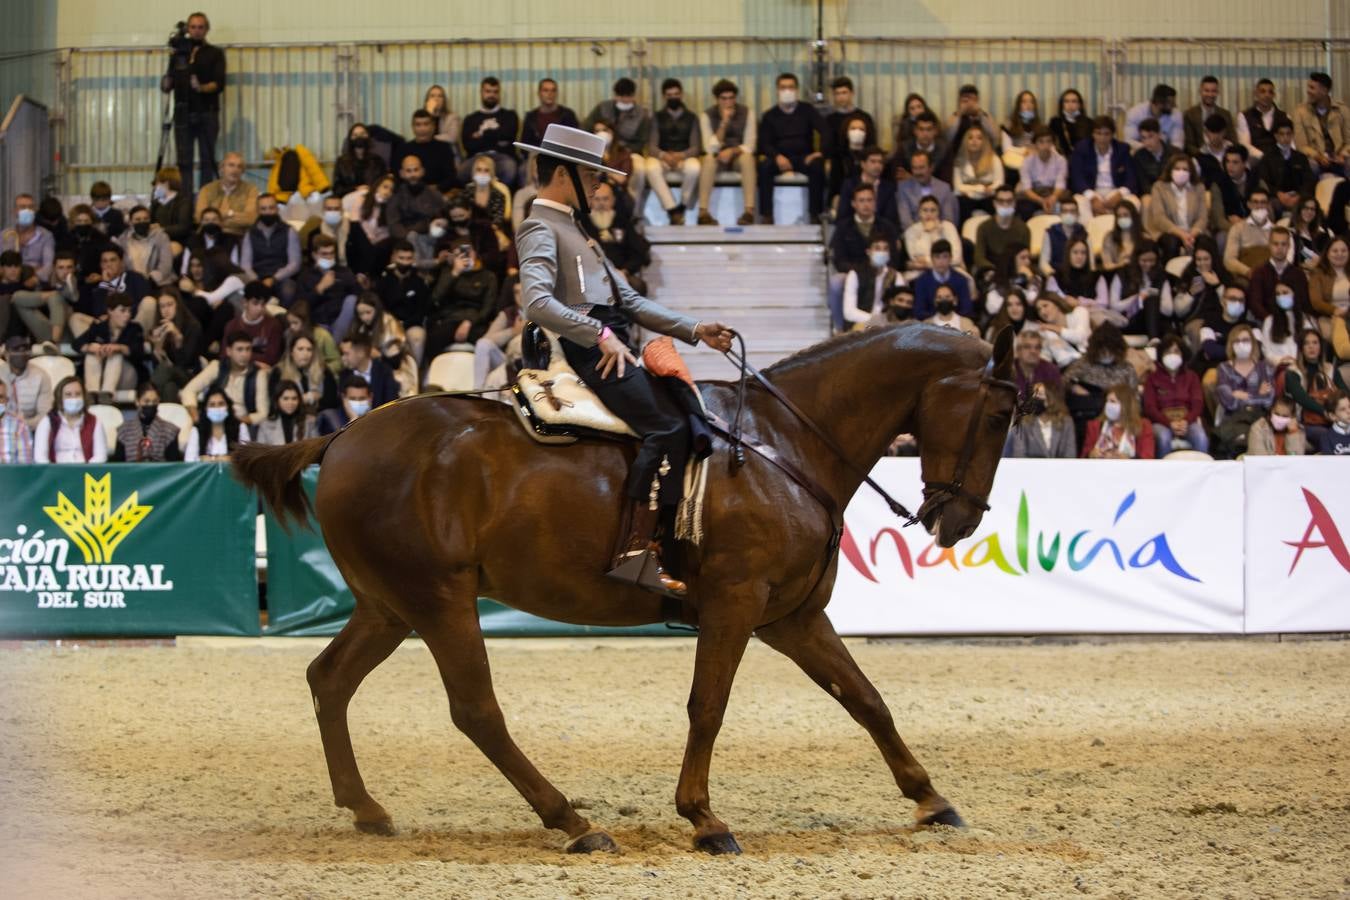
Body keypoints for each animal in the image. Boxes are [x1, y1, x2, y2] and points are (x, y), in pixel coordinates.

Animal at [234, 322, 1015, 852]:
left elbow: (866, 700)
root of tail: (342, 437)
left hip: (387, 608)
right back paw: (571, 822)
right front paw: (703, 818)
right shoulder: (735, 604)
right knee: (476, 711)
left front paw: (931, 799)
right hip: (439, 601)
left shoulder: (792, 618)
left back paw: (366, 807)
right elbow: (708, 707)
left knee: (330, 680)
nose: (959, 520)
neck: (780, 446)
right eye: (1001, 414)